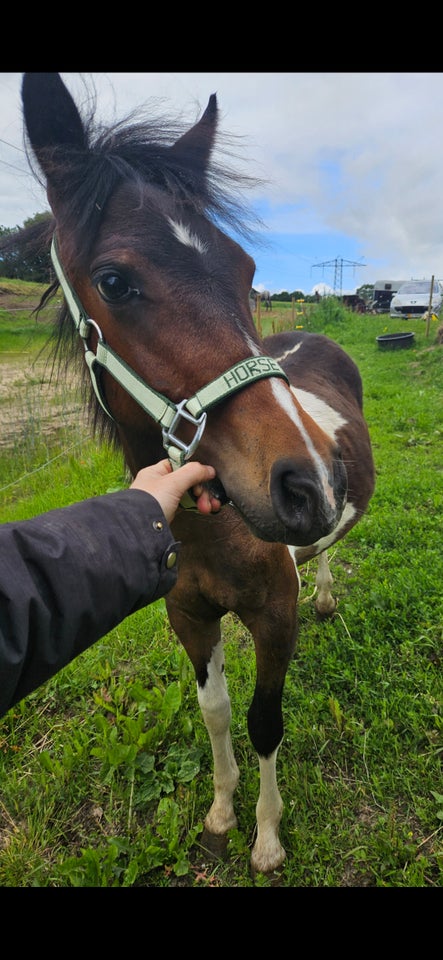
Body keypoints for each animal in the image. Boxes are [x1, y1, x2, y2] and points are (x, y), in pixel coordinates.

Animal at [17, 71, 374, 872]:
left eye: (245, 269)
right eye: (114, 281)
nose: (308, 482)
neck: (213, 537)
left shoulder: (274, 615)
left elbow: (265, 718)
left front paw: (267, 838)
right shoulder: (189, 616)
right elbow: (215, 713)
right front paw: (220, 809)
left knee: (332, 550)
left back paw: (328, 591)